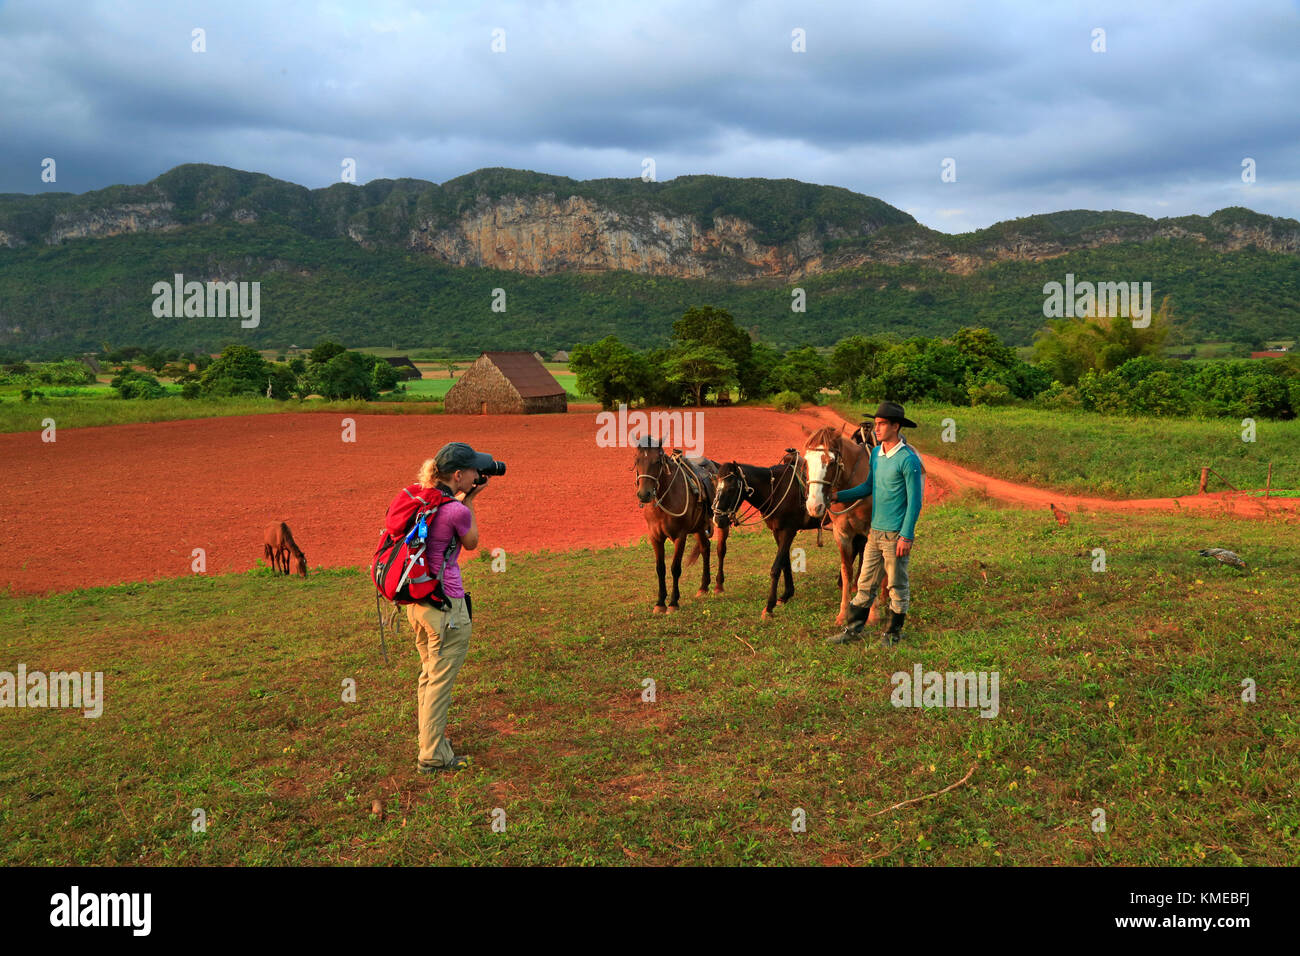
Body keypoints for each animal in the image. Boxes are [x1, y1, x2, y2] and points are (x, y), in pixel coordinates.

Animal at [800, 429, 894, 629]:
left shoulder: (871, 532)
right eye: (806, 461)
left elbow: (870, 569)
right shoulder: (842, 534)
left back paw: (884, 595)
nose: (814, 506)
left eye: (831, 462)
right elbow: (847, 571)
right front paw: (843, 614)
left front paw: (873, 615)